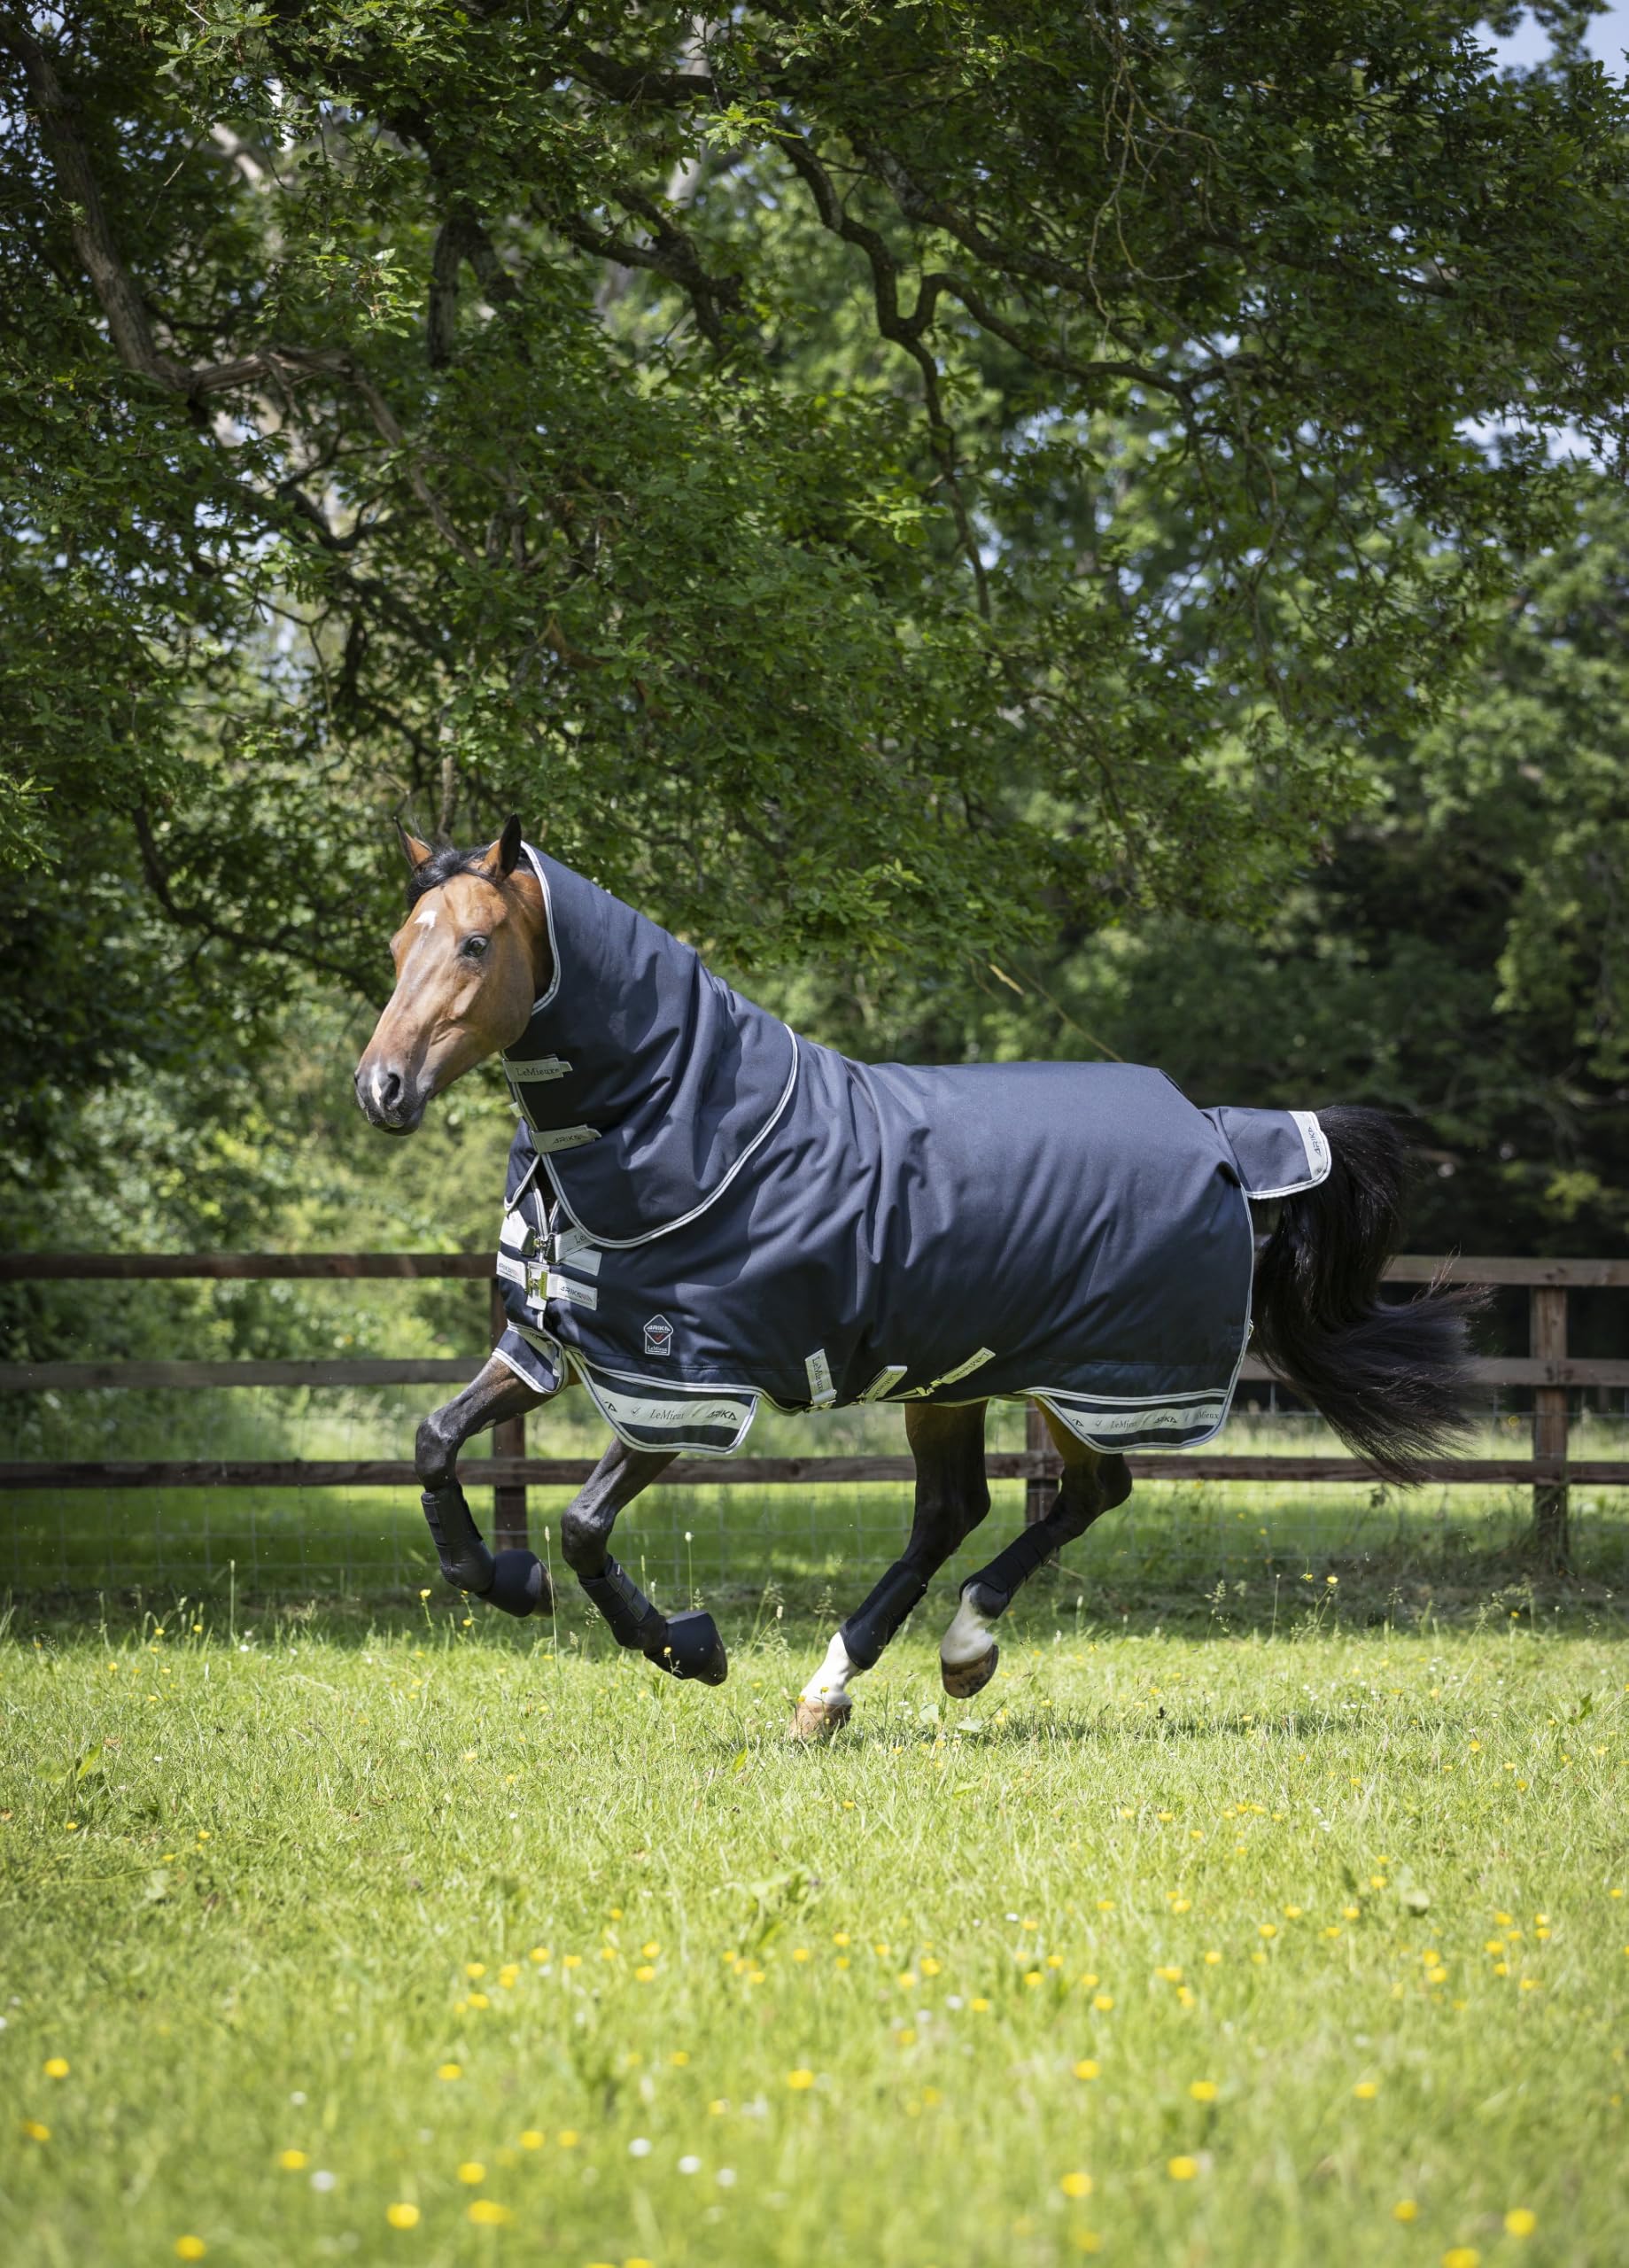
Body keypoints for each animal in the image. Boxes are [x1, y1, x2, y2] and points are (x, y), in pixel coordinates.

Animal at [354, 818, 1479, 1736]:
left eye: (475, 943)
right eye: (401, 944)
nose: (382, 1089)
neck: (686, 1128)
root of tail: (1218, 1129)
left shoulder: (687, 1387)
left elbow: (584, 1526)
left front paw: (689, 1647)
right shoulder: (551, 1345)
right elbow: (433, 1443)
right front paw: (505, 1579)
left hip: (1094, 1377)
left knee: (1082, 1492)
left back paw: (951, 1649)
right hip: (955, 1375)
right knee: (963, 1510)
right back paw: (842, 1689)